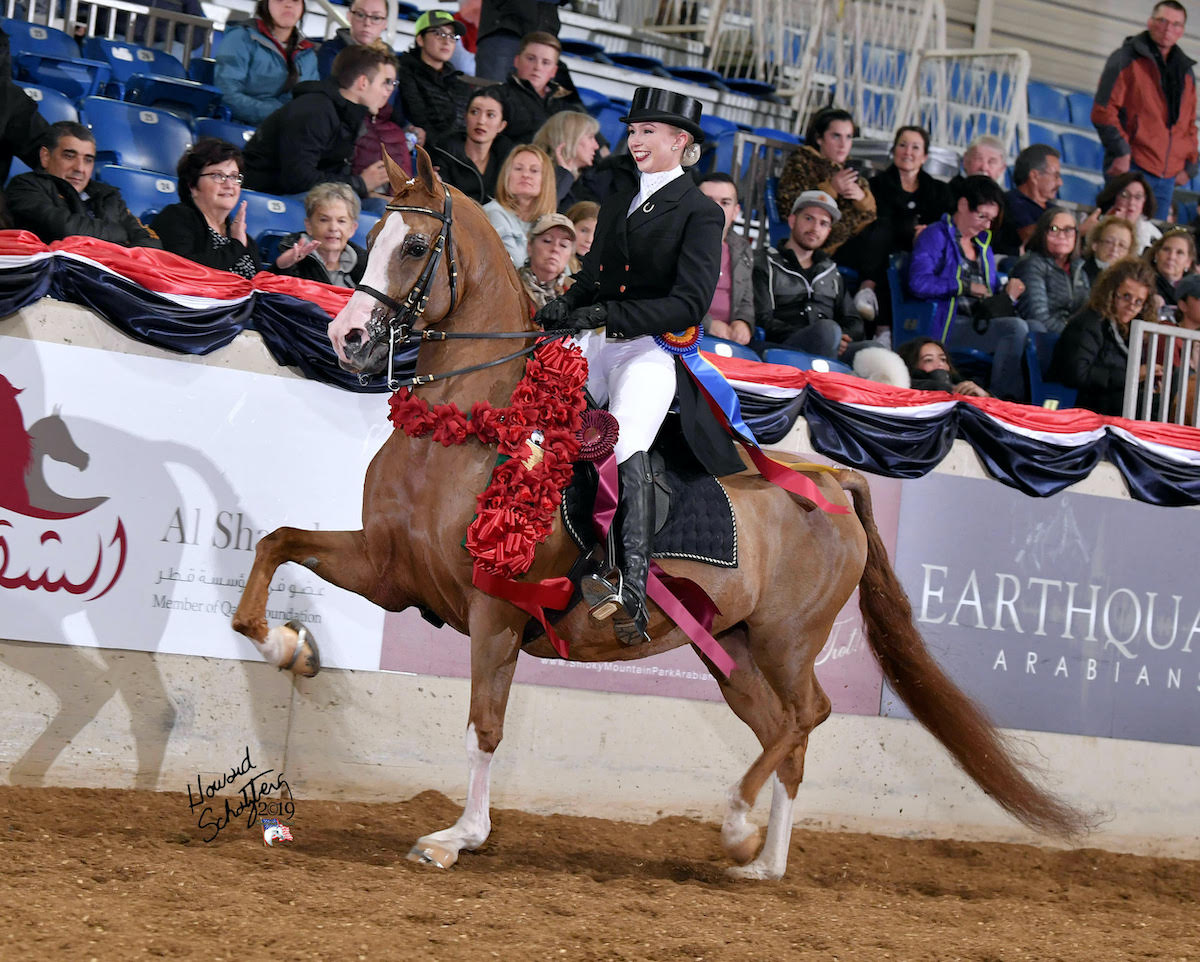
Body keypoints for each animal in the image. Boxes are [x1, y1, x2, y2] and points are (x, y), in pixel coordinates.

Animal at [229, 149, 1094, 878]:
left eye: (412, 247)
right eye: (367, 235)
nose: (345, 336)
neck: (467, 427)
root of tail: (827, 480)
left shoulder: (494, 607)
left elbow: (484, 723)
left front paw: (455, 838)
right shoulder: (392, 571)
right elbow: (276, 544)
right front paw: (286, 646)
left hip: (785, 640)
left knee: (805, 717)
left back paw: (739, 823)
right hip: (731, 650)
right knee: (784, 731)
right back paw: (763, 862)